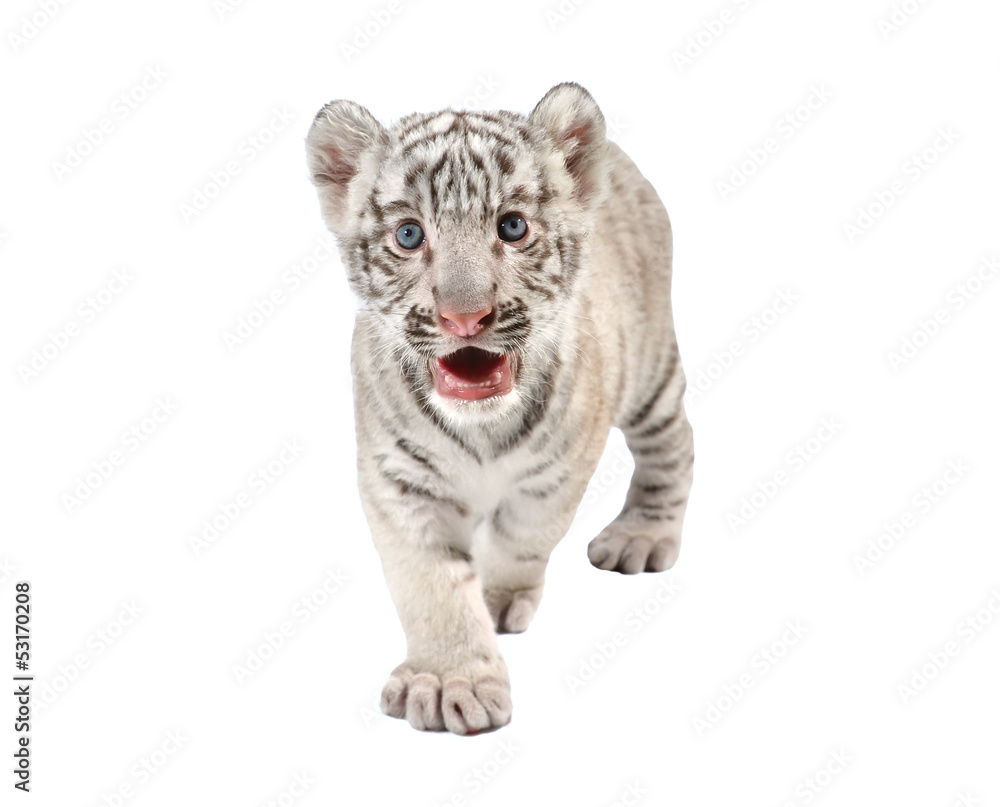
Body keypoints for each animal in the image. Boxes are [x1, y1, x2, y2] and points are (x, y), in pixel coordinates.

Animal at [304, 82, 694, 735]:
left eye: (512, 227)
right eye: (409, 235)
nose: (464, 317)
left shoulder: (562, 469)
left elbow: (522, 536)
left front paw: (497, 597)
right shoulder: (396, 482)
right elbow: (429, 583)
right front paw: (448, 680)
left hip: (649, 370)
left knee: (676, 442)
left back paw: (641, 535)